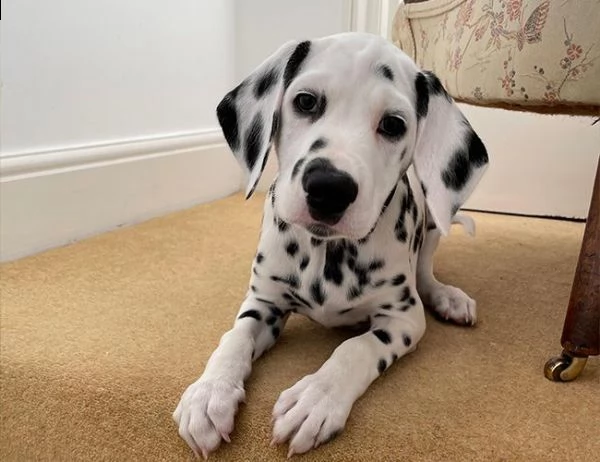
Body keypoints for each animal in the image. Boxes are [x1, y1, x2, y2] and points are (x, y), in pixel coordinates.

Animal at [172, 32, 488, 458]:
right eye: (306, 101)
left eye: (393, 124)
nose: (329, 188)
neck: (327, 252)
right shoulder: (263, 302)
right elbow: (234, 337)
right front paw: (209, 393)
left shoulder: (402, 319)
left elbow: (356, 348)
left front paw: (316, 398)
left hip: (434, 221)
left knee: (426, 273)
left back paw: (447, 297)